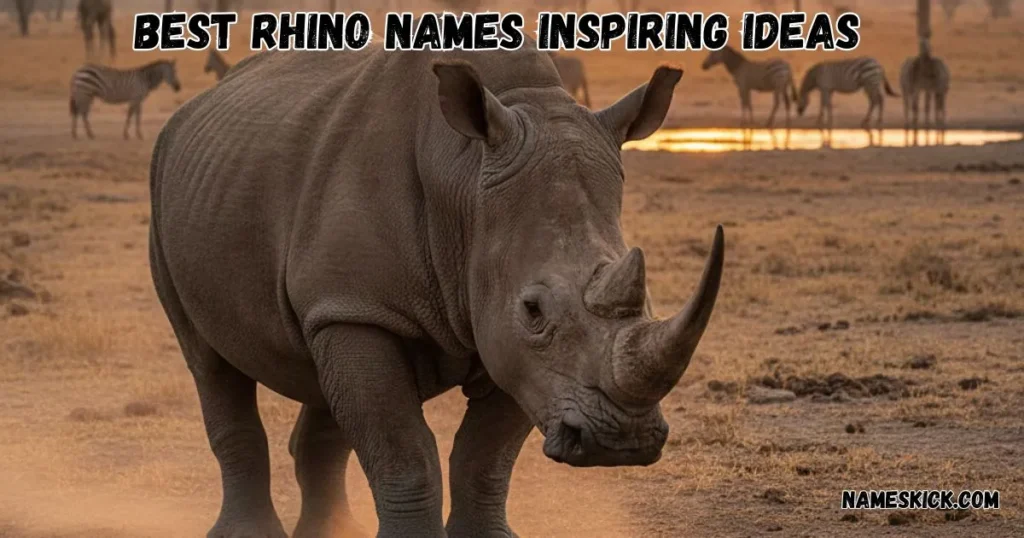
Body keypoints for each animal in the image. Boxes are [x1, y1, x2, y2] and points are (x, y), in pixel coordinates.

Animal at [149, 40, 724, 538]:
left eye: (647, 303)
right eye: (533, 310)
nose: (621, 439)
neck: (465, 184)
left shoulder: (501, 337)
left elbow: (483, 457)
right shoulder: (366, 308)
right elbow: (403, 451)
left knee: (320, 373)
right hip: (167, 190)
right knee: (209, 361)